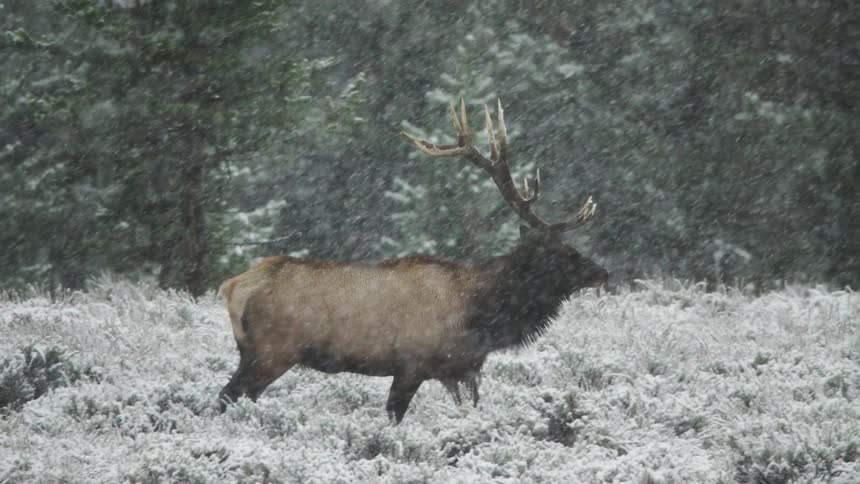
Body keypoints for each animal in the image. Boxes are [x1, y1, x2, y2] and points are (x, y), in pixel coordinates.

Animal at [218, 98, 608, 423]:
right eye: (558, 253)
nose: (602, 272)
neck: (478, 315)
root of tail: (234, 286)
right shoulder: (412, 364)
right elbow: (395, 415)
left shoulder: (461, 370)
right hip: (272, 351)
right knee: (228, 395)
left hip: (253, 352)